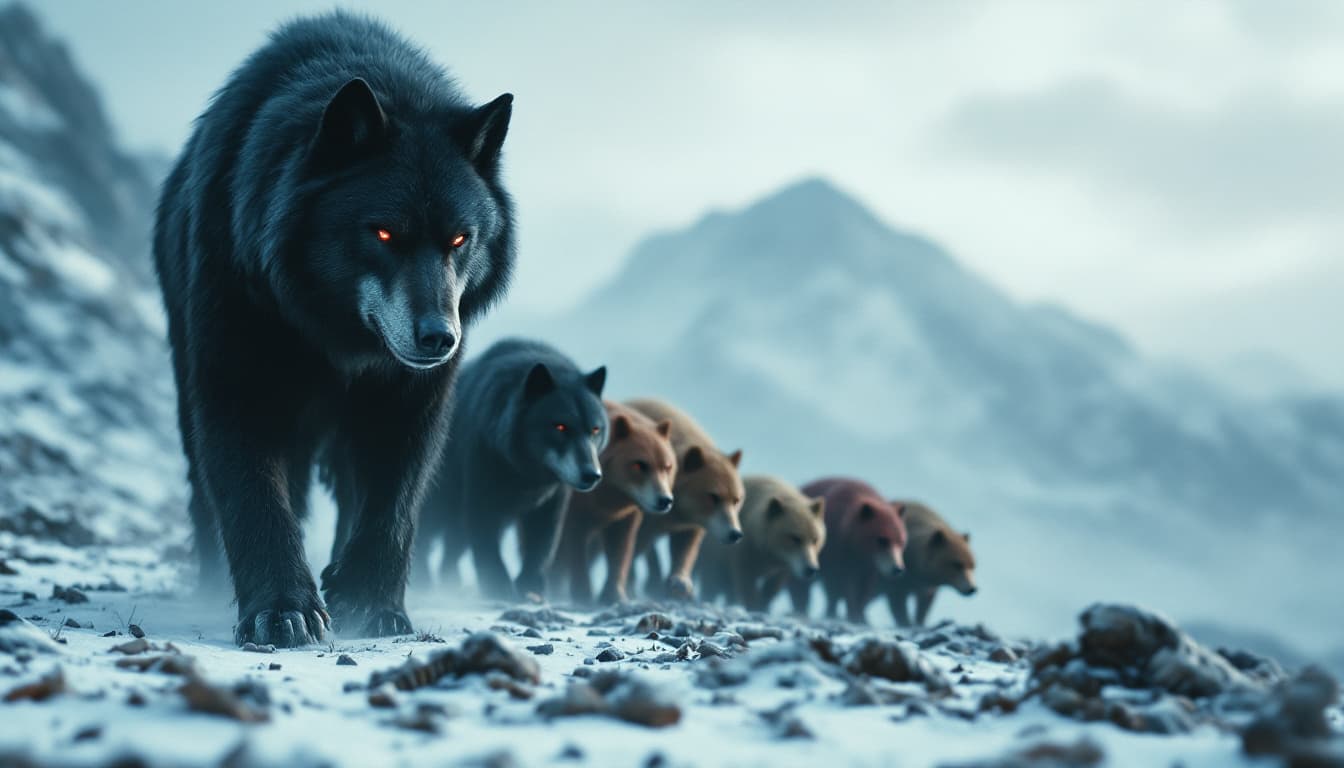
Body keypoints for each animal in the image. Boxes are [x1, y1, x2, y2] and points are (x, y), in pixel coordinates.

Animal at [153, 12, 515, 646]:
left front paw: (370, 602)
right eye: (385, 233)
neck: (334, 339)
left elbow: (394, 506)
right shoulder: (237, 390)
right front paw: (281, 609)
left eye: (459, 239)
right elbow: (255, 502)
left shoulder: (411, 402)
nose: (439, 338)